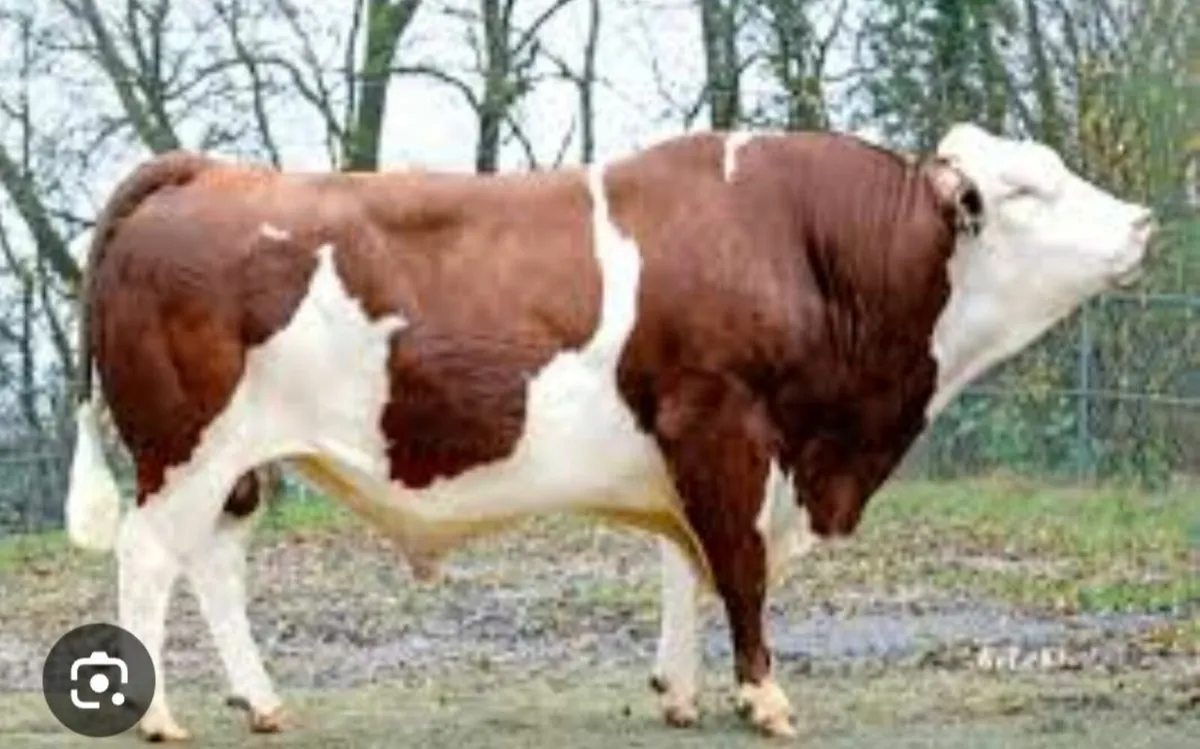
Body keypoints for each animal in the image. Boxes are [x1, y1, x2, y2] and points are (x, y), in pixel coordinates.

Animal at [63, 123, 1154, 741]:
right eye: (1028, 191)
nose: (1145, 220)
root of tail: (204, 173)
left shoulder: (695, 444)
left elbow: (688, 560)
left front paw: (680, 690)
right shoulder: (722, 420)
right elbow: (739, 568)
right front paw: (765, 699)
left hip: (235, 462)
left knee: (215, 562)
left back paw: (262, 701)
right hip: (184, 448)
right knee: (150, 557)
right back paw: (157, 716)